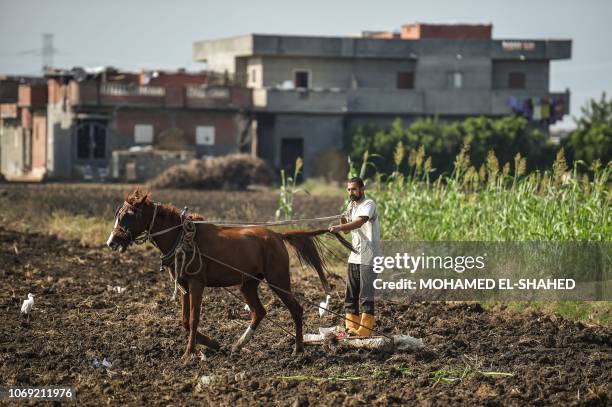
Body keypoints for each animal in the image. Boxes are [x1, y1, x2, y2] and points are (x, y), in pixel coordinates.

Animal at [106, 190, 354, 358]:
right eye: (118, 214)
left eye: (129, 214)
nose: (112, 242)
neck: (182, 238)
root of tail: (277, 235)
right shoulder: (184, 285)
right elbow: (185, 321)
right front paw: (213, 344)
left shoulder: (196, 283)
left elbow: (194, 319)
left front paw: (189, 352)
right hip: (248, 284)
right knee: (259, 312)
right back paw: (239, 345)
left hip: (278, 280)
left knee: (296, 309)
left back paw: (298, 349)